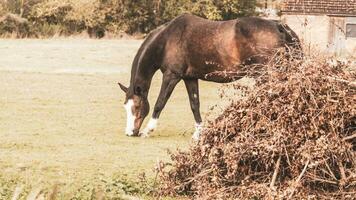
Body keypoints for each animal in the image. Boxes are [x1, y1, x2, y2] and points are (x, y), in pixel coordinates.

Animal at [117, 13, 300, 139]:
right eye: (125, 107)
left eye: (136, 107)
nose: (130, 132)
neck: (167, 39)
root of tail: (279, 26)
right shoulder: (190, 78)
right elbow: (194, 105)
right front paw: (198, 133)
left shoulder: (172, 76)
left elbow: (159, 103)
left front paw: (148, 130)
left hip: (265, 74)